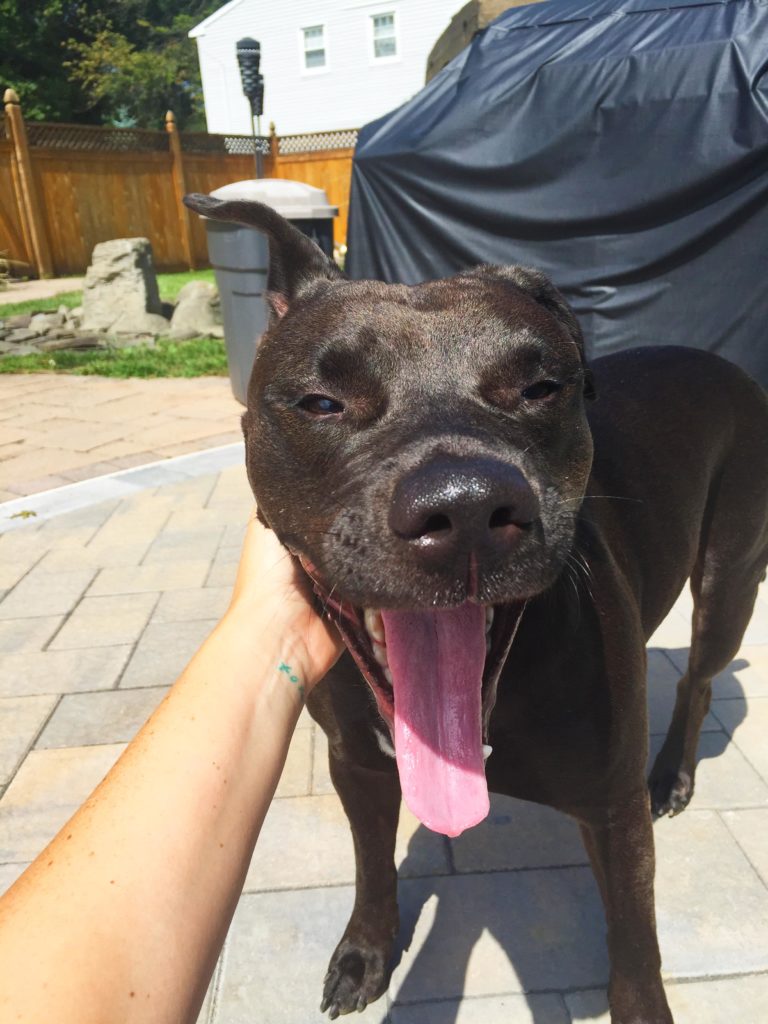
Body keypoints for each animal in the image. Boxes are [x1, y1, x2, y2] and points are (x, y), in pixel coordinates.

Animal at [188, 193, 768, 1024]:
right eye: (321, 402)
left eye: (541, 388)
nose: (463, 507)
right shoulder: (357, 762)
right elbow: (372, 866)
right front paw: (366, 951)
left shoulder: (615, 814)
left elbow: (635, 947)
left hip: (729, 578)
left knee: (699, 676)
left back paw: (673, 776)